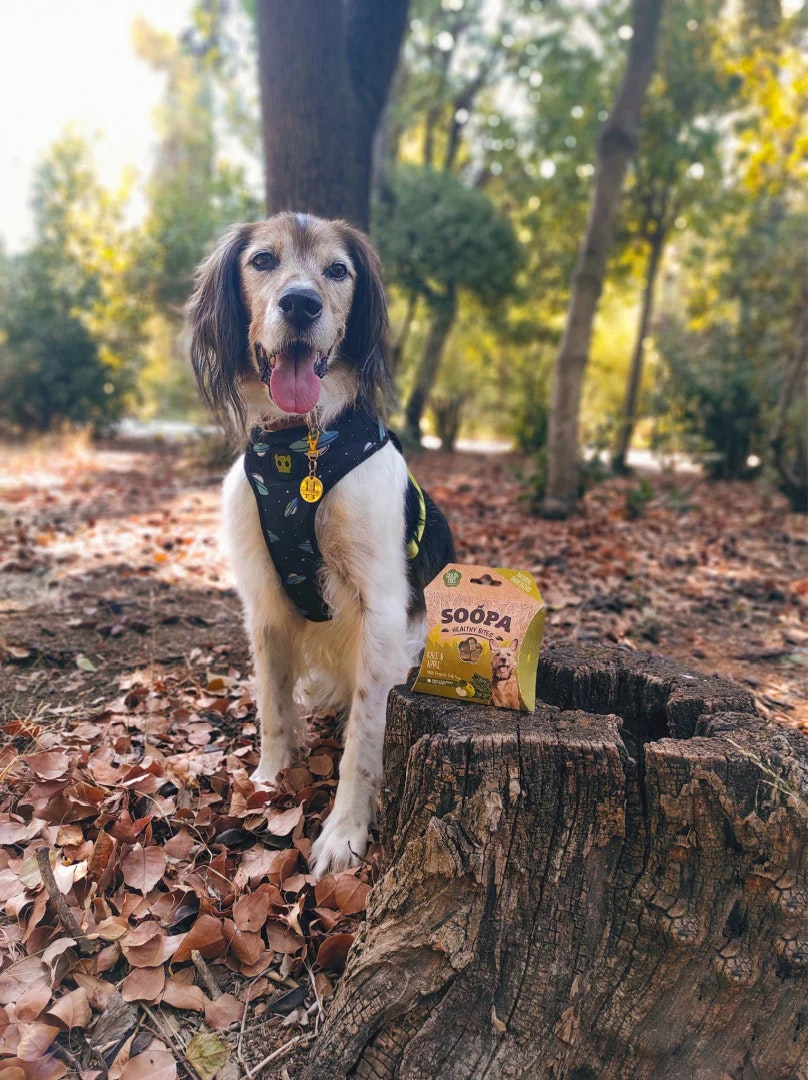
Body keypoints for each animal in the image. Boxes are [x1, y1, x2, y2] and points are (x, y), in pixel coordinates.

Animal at [187, 210, 453, 876]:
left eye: (337, 270)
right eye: (262, 260)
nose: (301, 303)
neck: (299, 448)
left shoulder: (382, 609)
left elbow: (364, 734)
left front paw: (344, 831)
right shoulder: (264, 600)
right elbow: (273, 707)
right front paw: (268, 778)